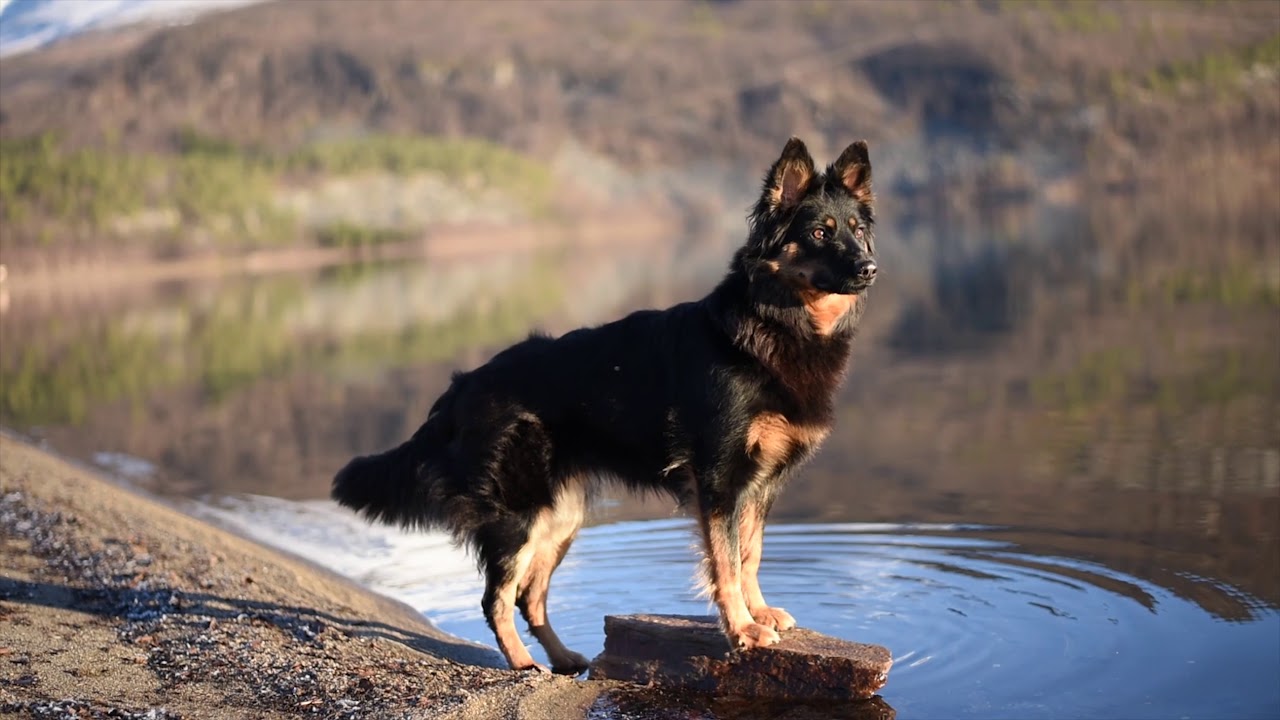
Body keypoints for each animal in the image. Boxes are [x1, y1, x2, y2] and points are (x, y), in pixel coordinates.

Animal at [332, 137, 880, 676]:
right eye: (819, 232)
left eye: (857, 232)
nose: (870, 268)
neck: (776, 320)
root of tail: (463, 386)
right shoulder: (720, 480)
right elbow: (726, 562)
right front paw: (742, 629)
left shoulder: (760, 485)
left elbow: (751, 554)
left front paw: (759, 611)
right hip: (520, 516)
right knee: (496, 598)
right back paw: (523, 664)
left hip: (561, 515)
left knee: (530, 596)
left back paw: (563, 659)